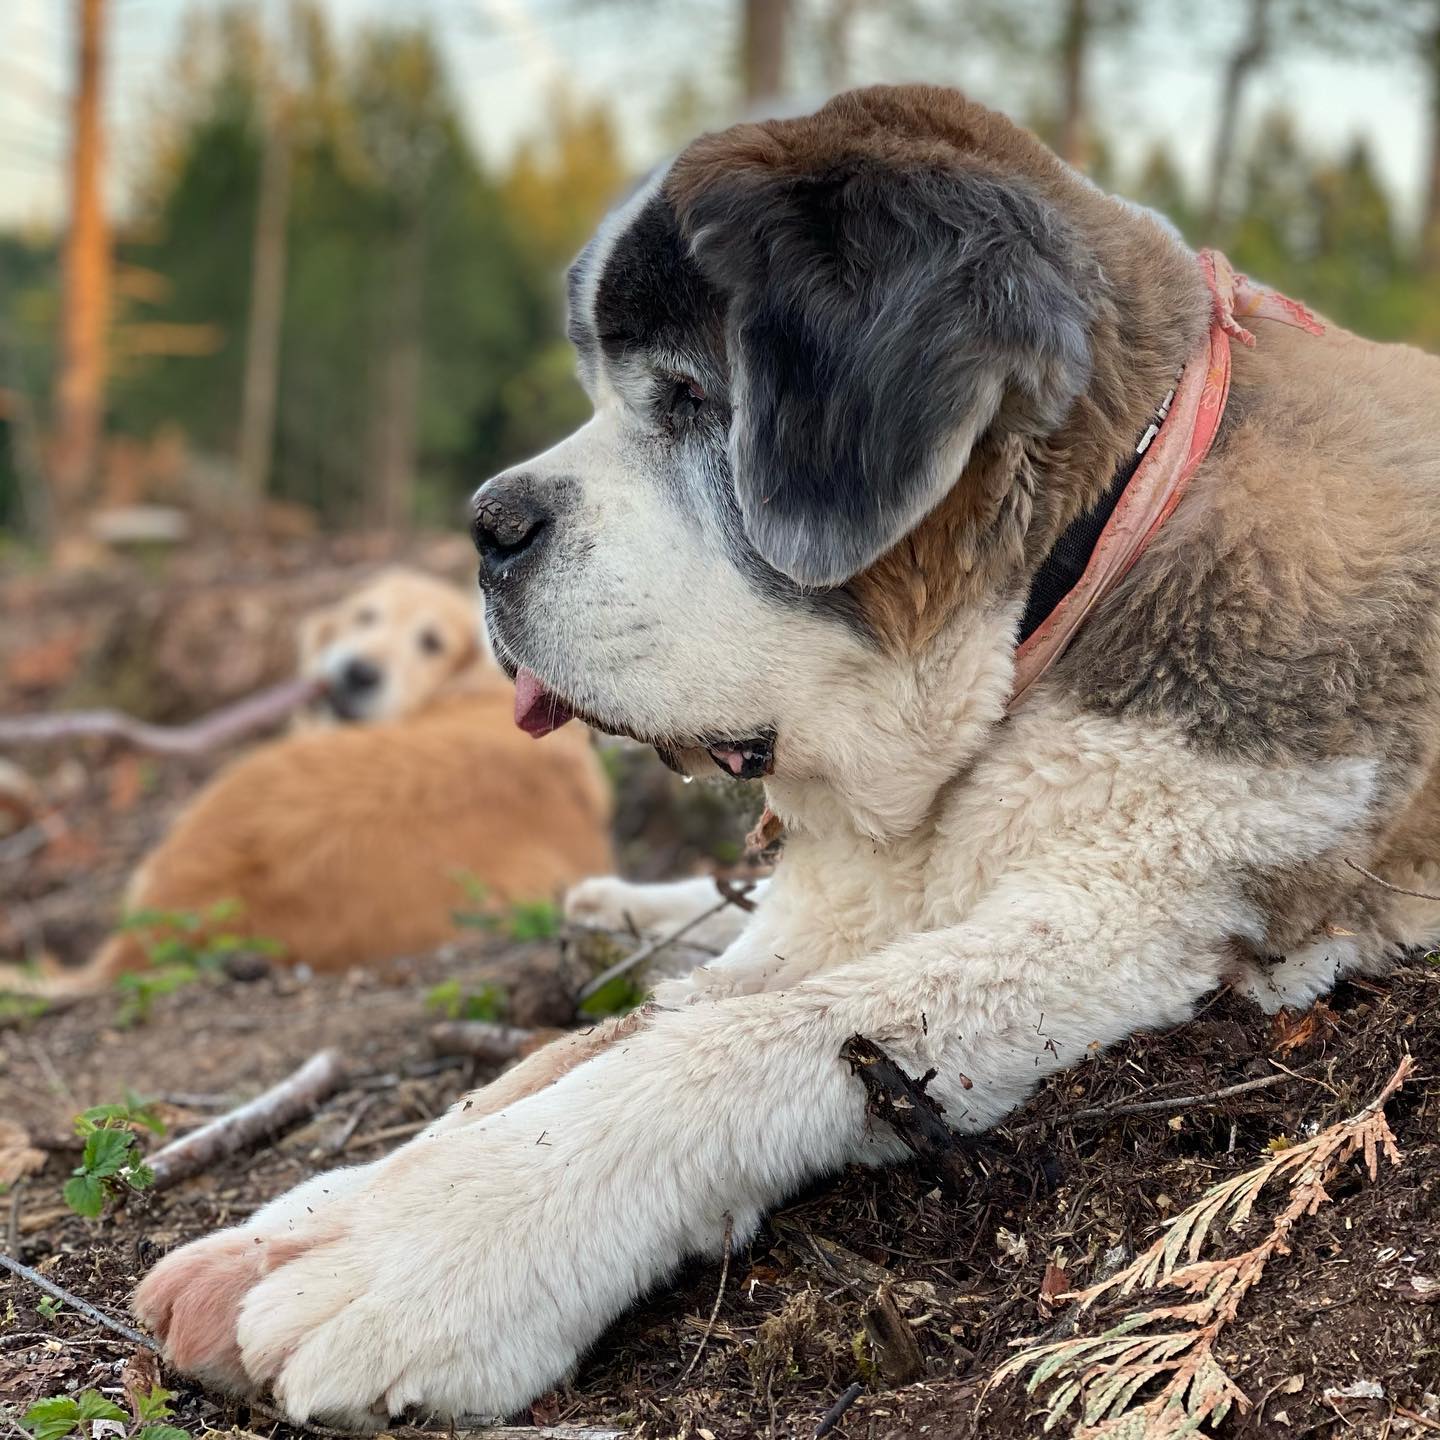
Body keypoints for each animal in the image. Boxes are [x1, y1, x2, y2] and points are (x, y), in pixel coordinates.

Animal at [132, 84, 1440, 1422]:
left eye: (691, 398)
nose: (486, 525)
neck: (1073, 581)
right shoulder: (844, 902)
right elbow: (589, 1045)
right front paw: (301, 1222)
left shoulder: (1131, 917)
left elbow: (737, 1039)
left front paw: (427, 1258)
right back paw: (617, 910)